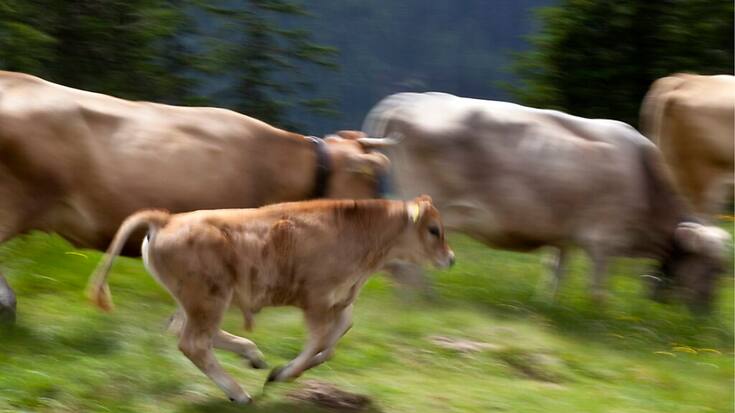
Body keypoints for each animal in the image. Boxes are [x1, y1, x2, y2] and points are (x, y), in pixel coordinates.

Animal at [87, 196, 455, 403]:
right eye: (434, 229)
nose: (450, 259)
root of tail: (167, 218)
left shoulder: (341, 300)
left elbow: (333, 341)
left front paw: (281, 369)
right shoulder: (317, 299)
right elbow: (320, 340)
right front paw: (283, 374)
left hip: (196, 301)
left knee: (185, 330)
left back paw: (252, 356)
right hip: (209, 299)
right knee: (193, 342)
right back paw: (239, 393)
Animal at [358, 92, 730, 311]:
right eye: (714, 268)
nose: (706, 315)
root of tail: (404, 100)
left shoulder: (563, 236)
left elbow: (556, 272)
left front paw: (546, 306)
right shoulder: (603, 239)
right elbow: (597, 287)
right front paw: (599, 320)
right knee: (408, 265)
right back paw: (418, 302)